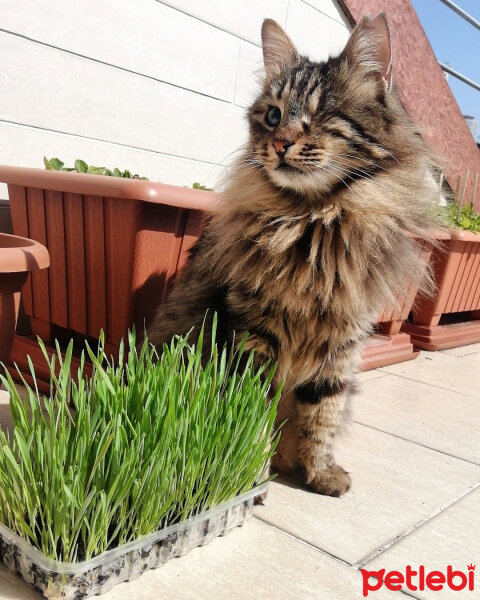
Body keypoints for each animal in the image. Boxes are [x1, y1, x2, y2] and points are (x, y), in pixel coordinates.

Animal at [148, 14, 440, 494]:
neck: (314, 224)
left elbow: (322, 416)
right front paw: (252, 482)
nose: (281, 142)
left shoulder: (342, 344)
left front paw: (320, 473)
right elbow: (252, 418)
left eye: (321, 115)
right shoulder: (253, 334)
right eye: (273, 115)